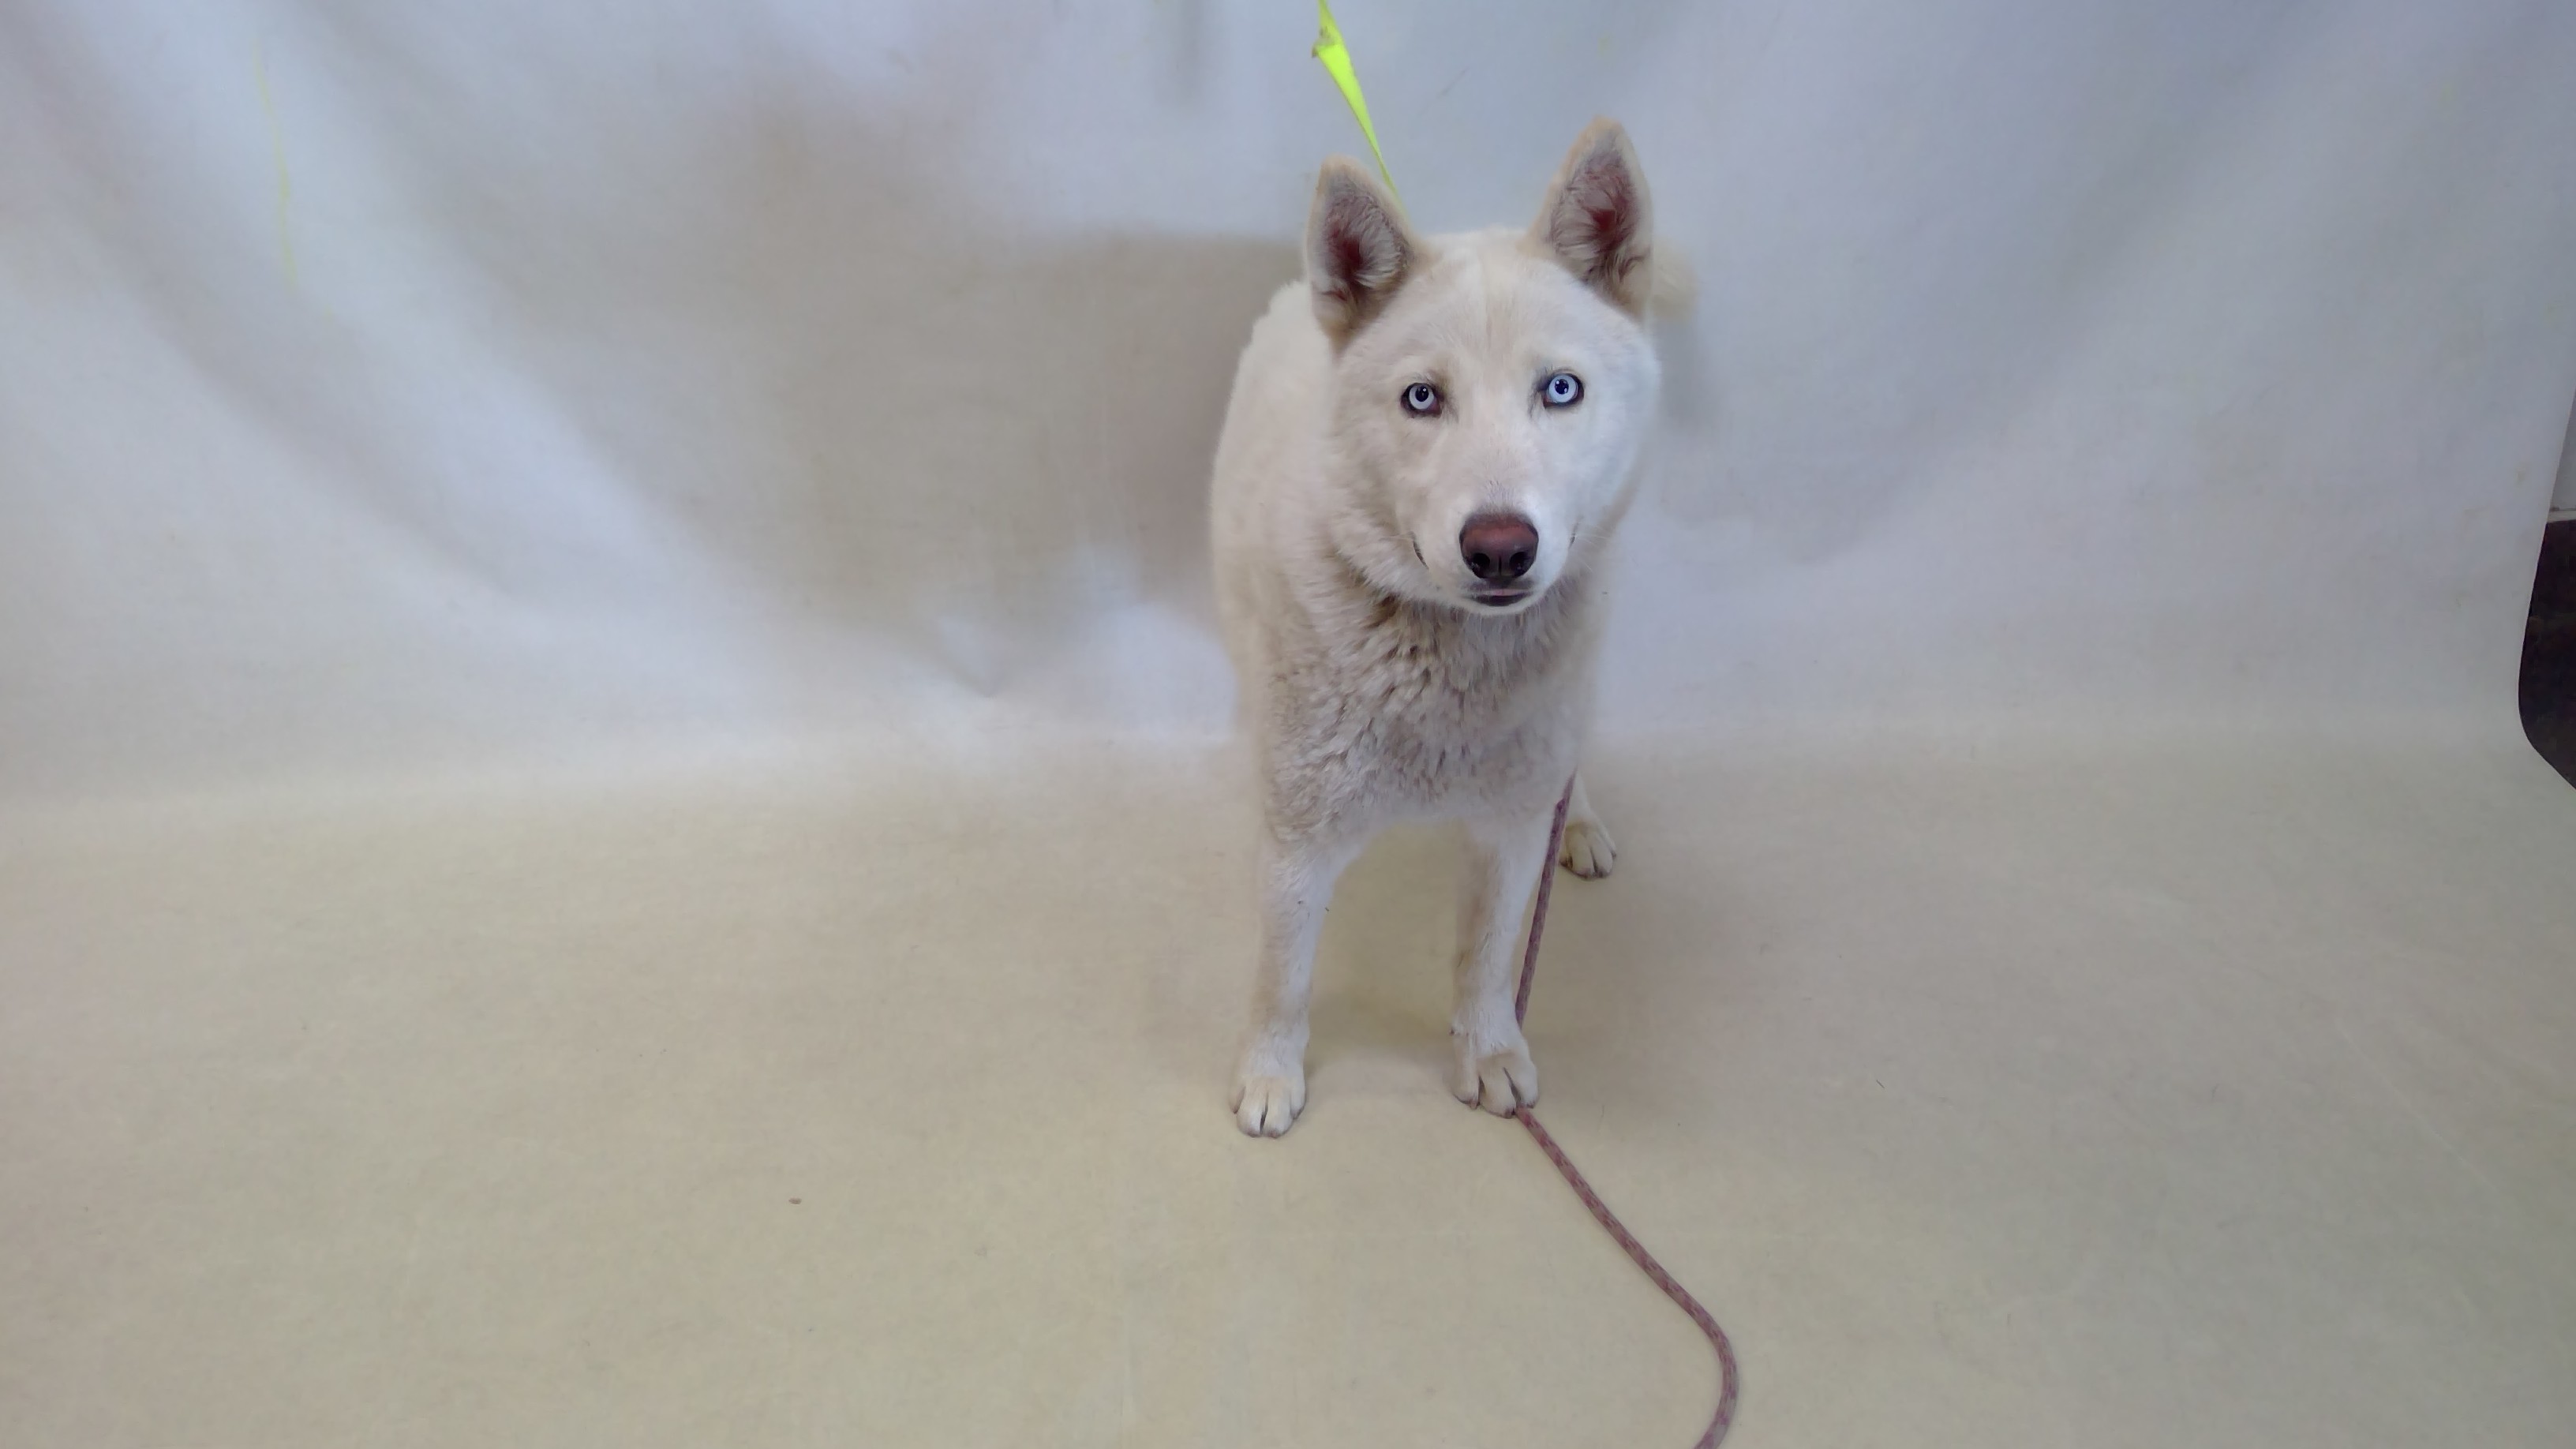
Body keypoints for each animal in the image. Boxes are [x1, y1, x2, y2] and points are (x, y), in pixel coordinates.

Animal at [1209, 119, 1685, 1137]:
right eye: (1423, 399)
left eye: (1559, 389)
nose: (1501, 549)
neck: (1443, 664)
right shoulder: (1301, 844)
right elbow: (1282, 976)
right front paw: (1270, 1074)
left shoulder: (1506, 831)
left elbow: (1488, 960)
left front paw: (1487, 1053)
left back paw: (1581, 822)